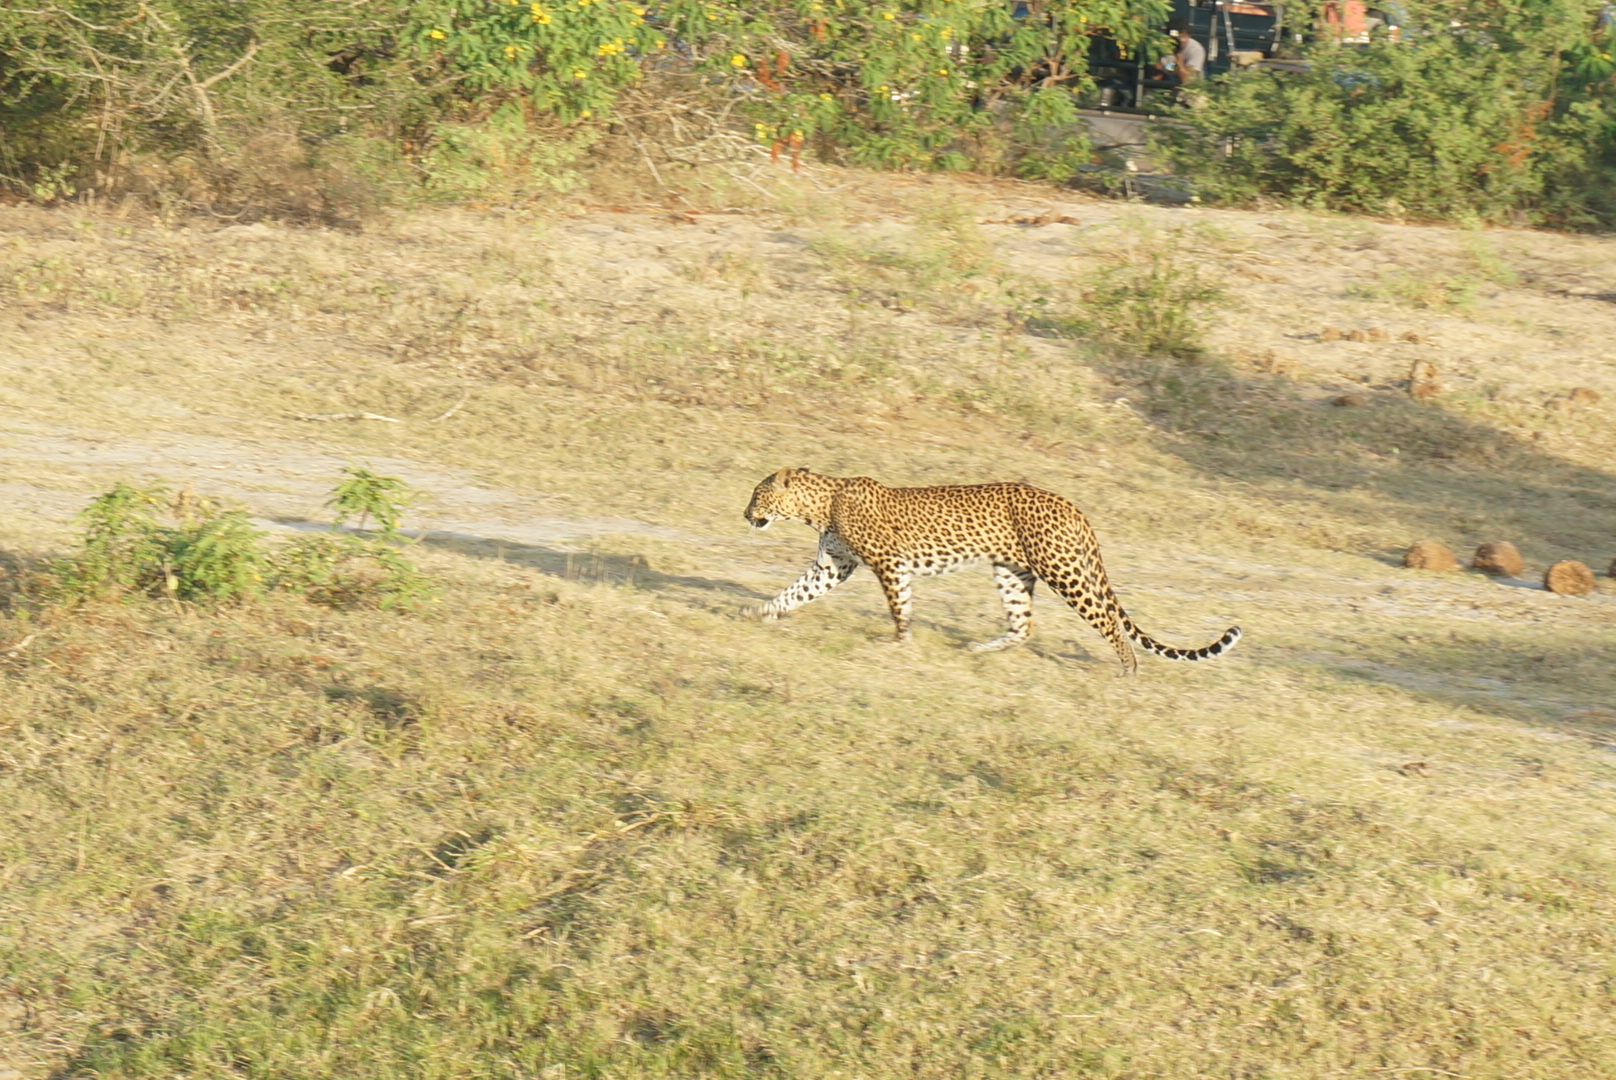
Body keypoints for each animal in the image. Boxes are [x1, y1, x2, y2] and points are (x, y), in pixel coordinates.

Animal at [740, 465, 1241, 675]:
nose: (744, 514)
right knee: (1023, 626)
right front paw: (759, 613)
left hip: (1063, 571)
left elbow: (899, 607)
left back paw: (1128, 671)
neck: (821, 505)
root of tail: (1071, 505)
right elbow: (794, 592)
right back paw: (980, 650)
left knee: (1108, 622)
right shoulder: (832, 566)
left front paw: (899, 643)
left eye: (757, 495)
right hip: (1012, 572)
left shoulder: (887, 565)